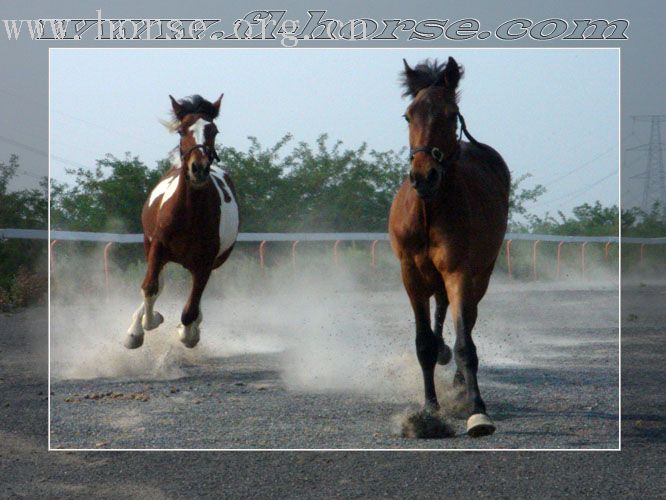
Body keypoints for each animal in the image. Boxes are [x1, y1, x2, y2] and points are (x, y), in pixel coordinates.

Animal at [124, 94, 239, 352]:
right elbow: (150, 288)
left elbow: (190, 310)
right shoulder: (157, 248)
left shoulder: (205, 263)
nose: (198, 168)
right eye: (182, 130)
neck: (189, 214)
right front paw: (145, 325)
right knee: (157, 284)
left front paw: (188, 333)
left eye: (213, 130)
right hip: (151, 248)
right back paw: (135, 328)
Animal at [390, 58, 508, 438]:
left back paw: (459, 381)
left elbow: (465, 344)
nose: (423, 175)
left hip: (481, 274)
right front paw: (429, 410)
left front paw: (478, 411)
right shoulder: (411, 274)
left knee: (466, 319)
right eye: (408, 115)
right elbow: (424, 344)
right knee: (441, 309)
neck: (430, 210)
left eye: (451, 114)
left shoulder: (459, 271)